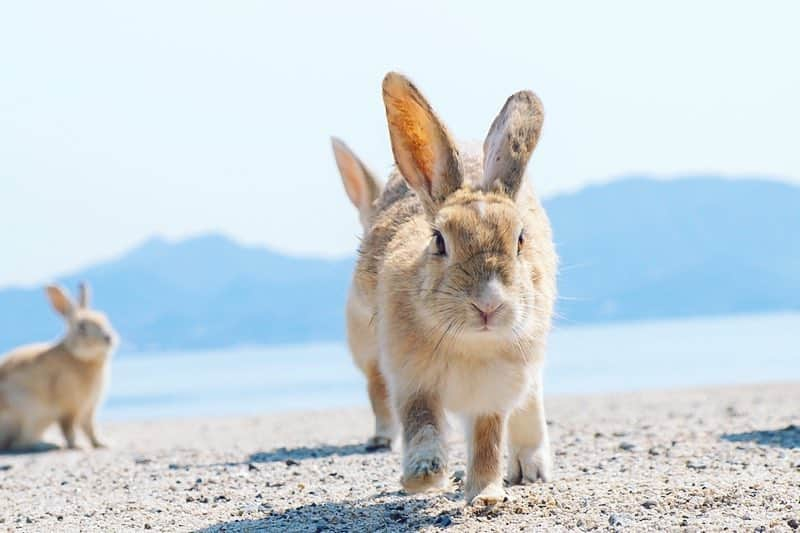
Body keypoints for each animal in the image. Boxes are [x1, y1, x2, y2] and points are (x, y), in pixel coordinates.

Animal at [0, 280, 115, 450]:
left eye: (104, 318)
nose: (108, 338)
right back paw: (44, 445)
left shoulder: (89, 409)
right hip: (27, 416)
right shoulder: (69, 408)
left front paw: (100, 444)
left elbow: (89, 428)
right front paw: (77, 446)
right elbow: (69, 428)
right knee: (17, 443)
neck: (79, 357)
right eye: (81, 326)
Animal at [332, 74, 556, 502]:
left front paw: (485, 494)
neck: (469, 342)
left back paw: (531, 469)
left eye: (520, 240)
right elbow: (422, 424)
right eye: (438, 241)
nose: (488, 304)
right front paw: (422, 477)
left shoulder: (494, 392)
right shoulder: (411, 379)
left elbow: (487, 440)